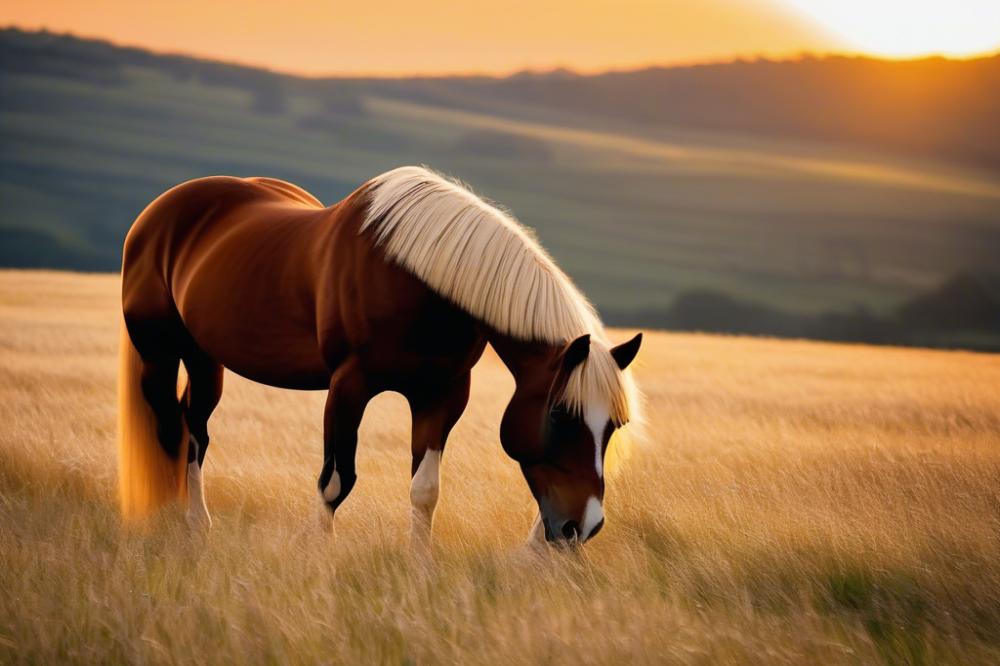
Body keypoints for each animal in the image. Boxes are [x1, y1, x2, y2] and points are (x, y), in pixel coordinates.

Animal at [117, 165, 644, 544]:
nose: (583, 526)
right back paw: (175, 525)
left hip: (207, 358)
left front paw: (420, 571)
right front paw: (320, 562)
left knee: (193, 429)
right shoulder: (348, 387)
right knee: (175, 429)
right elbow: (335, 482)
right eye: (559, 415)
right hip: (163, 353)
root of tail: (156, 214)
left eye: (615, 426)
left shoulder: (442, 394)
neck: (418, 281)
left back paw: (193, 524)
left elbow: (425, 491)